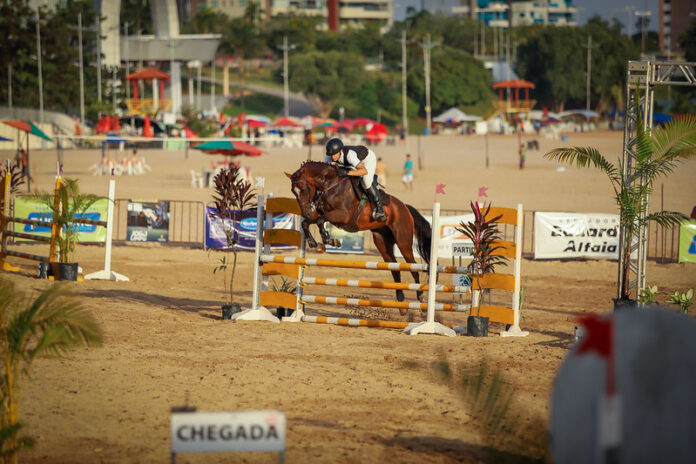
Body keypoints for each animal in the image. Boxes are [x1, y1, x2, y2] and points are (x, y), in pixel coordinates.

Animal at [286, 161, 432, 312]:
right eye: (293, 191)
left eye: (303, 189)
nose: (306, 212)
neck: (330, 185)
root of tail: (405, 207)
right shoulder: (319, 213)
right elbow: (306, 223)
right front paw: (316, 243)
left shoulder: (342, 215)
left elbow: (320, 221)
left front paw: (328, 239)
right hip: (382, 241)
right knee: (394, 268)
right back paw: (401, 302)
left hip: (403, 241)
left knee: (412, 266)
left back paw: (420, 296)